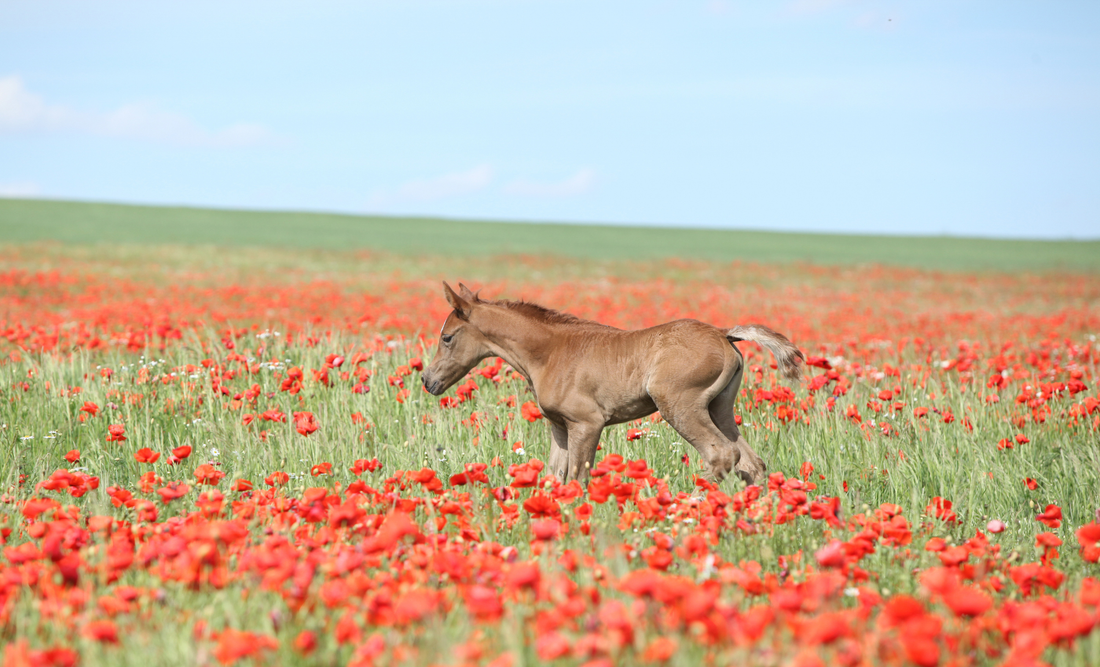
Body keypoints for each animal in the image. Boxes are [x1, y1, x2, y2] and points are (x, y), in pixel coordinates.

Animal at [422, 282, 804, 485]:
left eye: (447, 337)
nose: (428, 380)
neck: (550, 353)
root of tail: (725, 333)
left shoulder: (587, 424)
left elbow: (578, 478)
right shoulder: (560, 427)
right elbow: (554, 476)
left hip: (681, 405)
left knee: (721, 454)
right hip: (720, 407)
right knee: (751, 463)